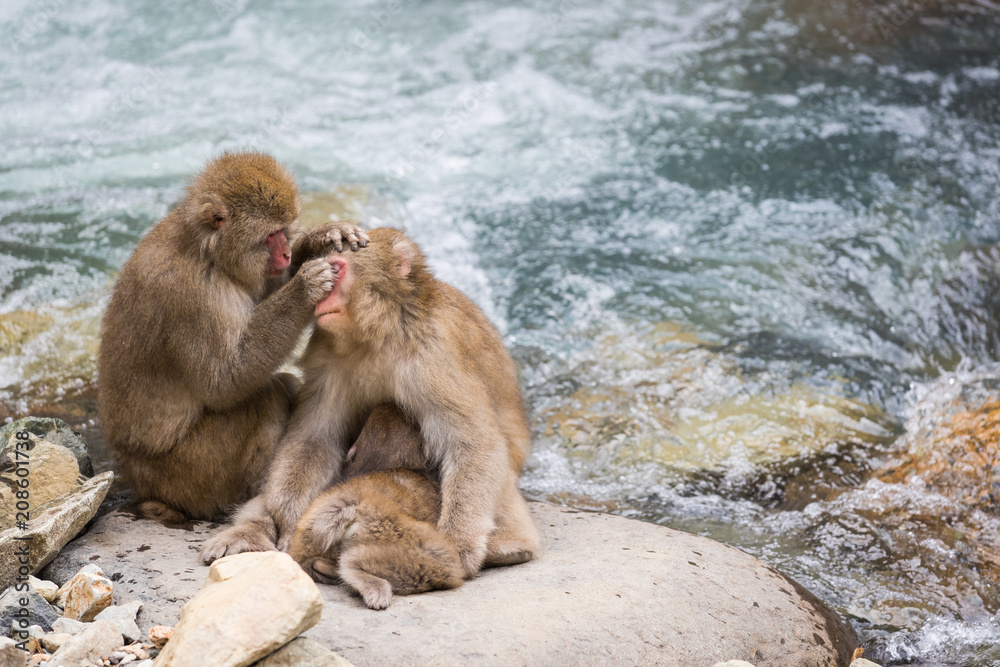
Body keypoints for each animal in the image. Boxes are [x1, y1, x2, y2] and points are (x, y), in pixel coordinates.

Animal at [97, 151, 370, 520]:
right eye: (270, 236)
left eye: (285, 231)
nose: (286, 253)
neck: (207, 252)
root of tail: (137, 480)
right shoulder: (194, 298)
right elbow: (225, 381)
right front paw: (305, 287)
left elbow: (264, 288)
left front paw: (323, 238)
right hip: (191, 473)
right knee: (266, 396)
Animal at [202, 227, 540, 576]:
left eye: (337, 270)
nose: (320, 301)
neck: (382, 329)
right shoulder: (327, 355)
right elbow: (315, 439)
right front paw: (288, 521)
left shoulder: (436, 354)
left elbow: (473, 444)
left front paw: (458, 545)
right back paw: (247, 534)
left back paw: (510, 549)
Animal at [288, 402, 462, 612]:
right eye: (413, 421)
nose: (389, 403)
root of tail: (350, 506)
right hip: (389, 529)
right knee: (441, 561)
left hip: (308, 536)